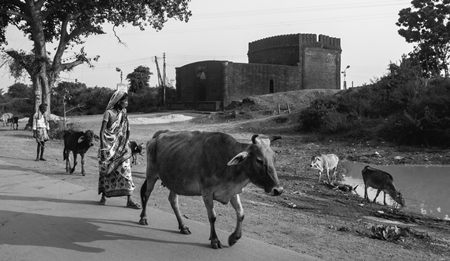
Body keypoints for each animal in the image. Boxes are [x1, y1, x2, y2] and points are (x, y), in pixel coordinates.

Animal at [139, 130, 284, 248]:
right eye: (259, 160)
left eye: (274, 158)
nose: (278, 190)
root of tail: (157, 136)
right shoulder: (207, 192)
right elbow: (212, 216)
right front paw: (215, 240)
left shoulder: (232, 191)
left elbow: (241, 213)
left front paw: (234, 238)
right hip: (151, 174)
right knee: (147, 194)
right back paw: (143, 218)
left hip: (174, 181)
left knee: (173, 200)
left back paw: (183, 226)